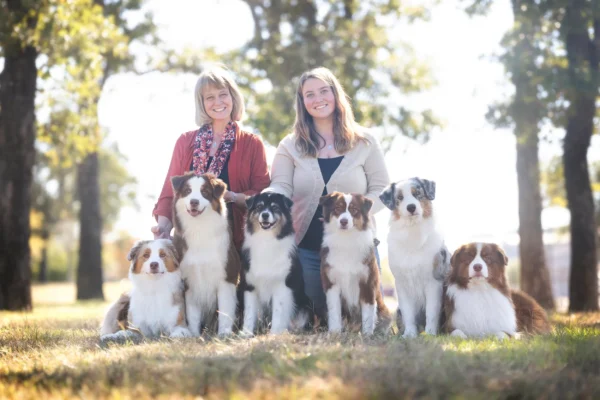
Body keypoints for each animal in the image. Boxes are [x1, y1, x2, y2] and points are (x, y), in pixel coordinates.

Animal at [170, 173, 240, 338]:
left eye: (205, 192)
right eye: (188, 191)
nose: (194, 202)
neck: (199, 229)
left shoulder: (227, 277)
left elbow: (225, 310)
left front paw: (224, 333)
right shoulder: (189, 281)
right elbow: (193, 314)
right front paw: (194, 335)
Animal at [240, 192, 314, 336]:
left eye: (275, 207)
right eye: (259, 206)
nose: (265, 215)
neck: (266, 240)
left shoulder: (281, 286)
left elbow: (278, 313)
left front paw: (274, 334)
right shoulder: (250, 286)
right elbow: (249, 313)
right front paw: (246, 333)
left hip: (305, 305)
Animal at [322, 192, 392, 336]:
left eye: (354, 210)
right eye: (337, 208)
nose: (344, 221)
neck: (346, 239)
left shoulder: (368, 283)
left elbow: (368, 314)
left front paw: (367, 335)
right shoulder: (331, 283)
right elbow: (334, 312)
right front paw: (334, 333)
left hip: (386, 312)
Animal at [382, 178, 448, 338]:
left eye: (417, 193)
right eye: (400, 198)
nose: (411, 207)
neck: (413, 233)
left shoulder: (432, 282)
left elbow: (431, 312)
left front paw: (431, 334)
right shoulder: (401, 284)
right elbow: (408, 313)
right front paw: (409, 334)